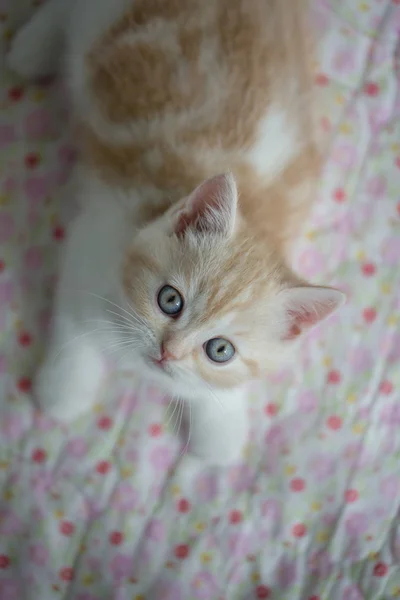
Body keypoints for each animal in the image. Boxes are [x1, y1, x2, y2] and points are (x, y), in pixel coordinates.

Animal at [5, 0, 344, 464]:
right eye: (170, 300)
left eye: (220, 350)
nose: (169, 353)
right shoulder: (91, 240)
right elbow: (72, 324)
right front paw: (63, 389)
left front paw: (220, 430)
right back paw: (32, 47)